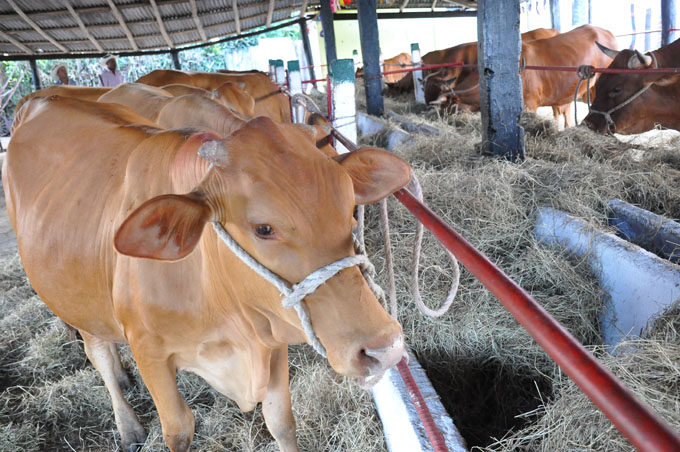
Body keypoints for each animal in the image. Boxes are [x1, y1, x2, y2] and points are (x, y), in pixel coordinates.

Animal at [3, 94, 410, 448]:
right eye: (263, 228)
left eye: (348, 206)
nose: (384, 349)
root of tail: (39, 100)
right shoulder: (148, 350)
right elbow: (178, 430)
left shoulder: (270, 332)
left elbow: (281, 421)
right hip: (72, 296)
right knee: (97, 350)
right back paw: (129, 425)